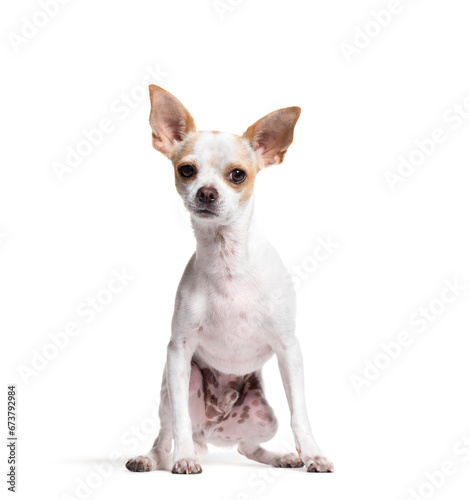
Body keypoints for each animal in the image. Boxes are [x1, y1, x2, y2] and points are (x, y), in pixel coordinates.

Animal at [124, 87, 332, 476]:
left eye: (238, 175)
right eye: (186, 170)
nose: (206, 192)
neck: (227, 261)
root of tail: (213, 429)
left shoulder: (289, 350)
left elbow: (300, 414)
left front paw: (313, 454)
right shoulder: (178, 353)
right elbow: (179, 424)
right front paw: (185, 459)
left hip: (264, 417)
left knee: (248, 447)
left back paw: (283, 457)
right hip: (176, 388)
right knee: (166, 435)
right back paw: (152, 458)